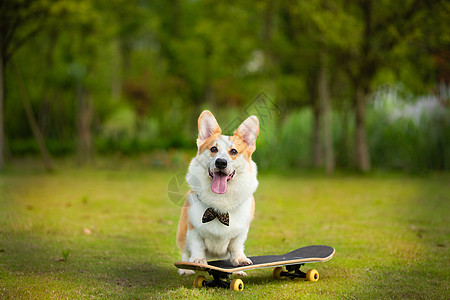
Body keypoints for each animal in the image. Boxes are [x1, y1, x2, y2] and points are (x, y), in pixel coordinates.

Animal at [177, 109, 260, 274]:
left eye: (233, 151)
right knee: (184, 251)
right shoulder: (193, 228)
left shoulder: (241, 231)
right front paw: (197, 261)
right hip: (182, 231)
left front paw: (240, 261)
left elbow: (236, 246)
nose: (221, 162)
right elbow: (197, 245)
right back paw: (186, 269)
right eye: (213, 149)